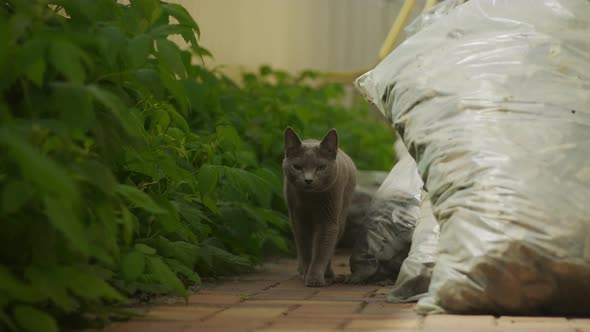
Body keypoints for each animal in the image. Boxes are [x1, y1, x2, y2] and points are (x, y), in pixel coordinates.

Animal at [284, 127, 358, 288]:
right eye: (297, 167)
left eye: (321, 167)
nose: (308, 180)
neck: (311, 200)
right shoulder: (298, 218)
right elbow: (305, 247)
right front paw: (307, 272)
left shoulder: (329, 219)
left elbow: (322, 250)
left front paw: (314, 278)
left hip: (341, 216)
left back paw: (329, 273)